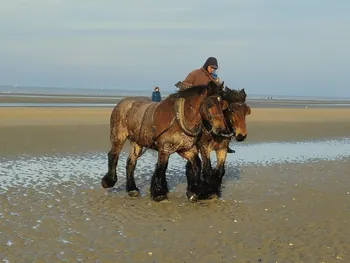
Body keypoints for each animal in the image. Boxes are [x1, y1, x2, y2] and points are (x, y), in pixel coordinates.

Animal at [100, 81, 230, 203]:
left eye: (223, 104)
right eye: (210, 104)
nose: (223, 130)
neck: (178, 118)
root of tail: (123, 102)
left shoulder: (186, 149)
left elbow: (197, 164)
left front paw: (194, 191)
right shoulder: (165, 149)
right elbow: (161, 168)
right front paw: (159, 193)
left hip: (137, 142)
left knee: (131, 162)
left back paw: (132, 189)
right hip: (118, 136)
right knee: (113, 155)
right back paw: (109, 181)